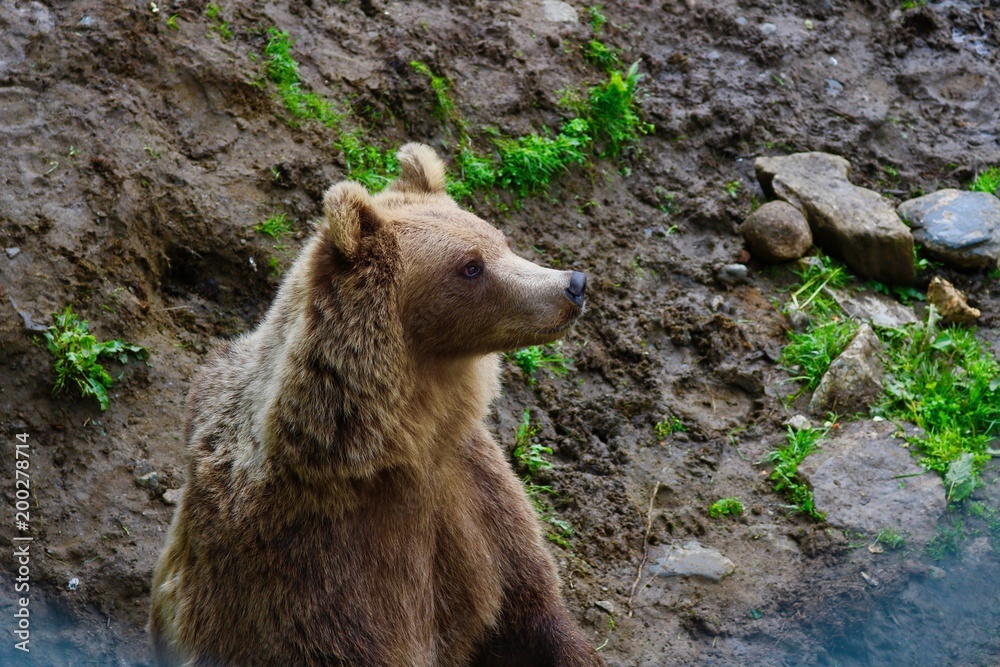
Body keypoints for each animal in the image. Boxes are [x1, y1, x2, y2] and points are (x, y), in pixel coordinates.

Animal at [149, 143, 600, 667]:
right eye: (470, 266)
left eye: (499, 239)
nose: (573, 283)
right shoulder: (331, 569)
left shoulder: (476, 501)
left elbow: (532, 609)